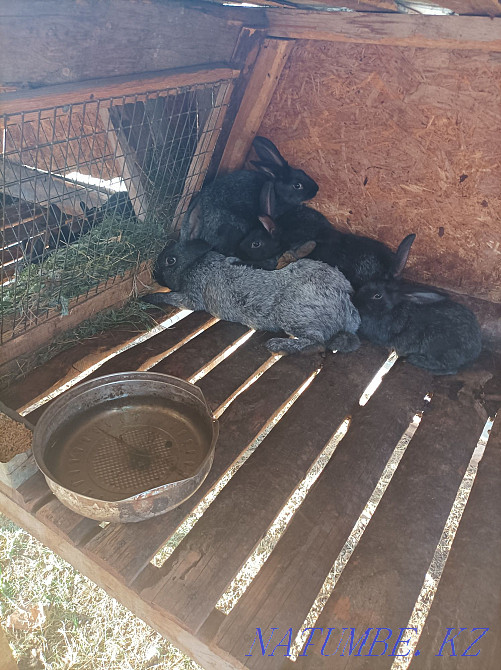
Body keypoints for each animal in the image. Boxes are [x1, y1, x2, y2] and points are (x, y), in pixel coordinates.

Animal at [143, 239, 361, 355]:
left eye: (170, 260)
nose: (155, 275)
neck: (196, 263)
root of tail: (345, 302)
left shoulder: (191, 297)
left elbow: (171, 297)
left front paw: (148, 298)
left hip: (294, 313)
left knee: (317, 342)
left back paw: (277, 345)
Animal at [353, 279, 483, 375]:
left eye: (377, 295)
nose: (355, 301)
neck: (391, 309)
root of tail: (474, 353)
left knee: (449, 369)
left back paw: (415, 360)